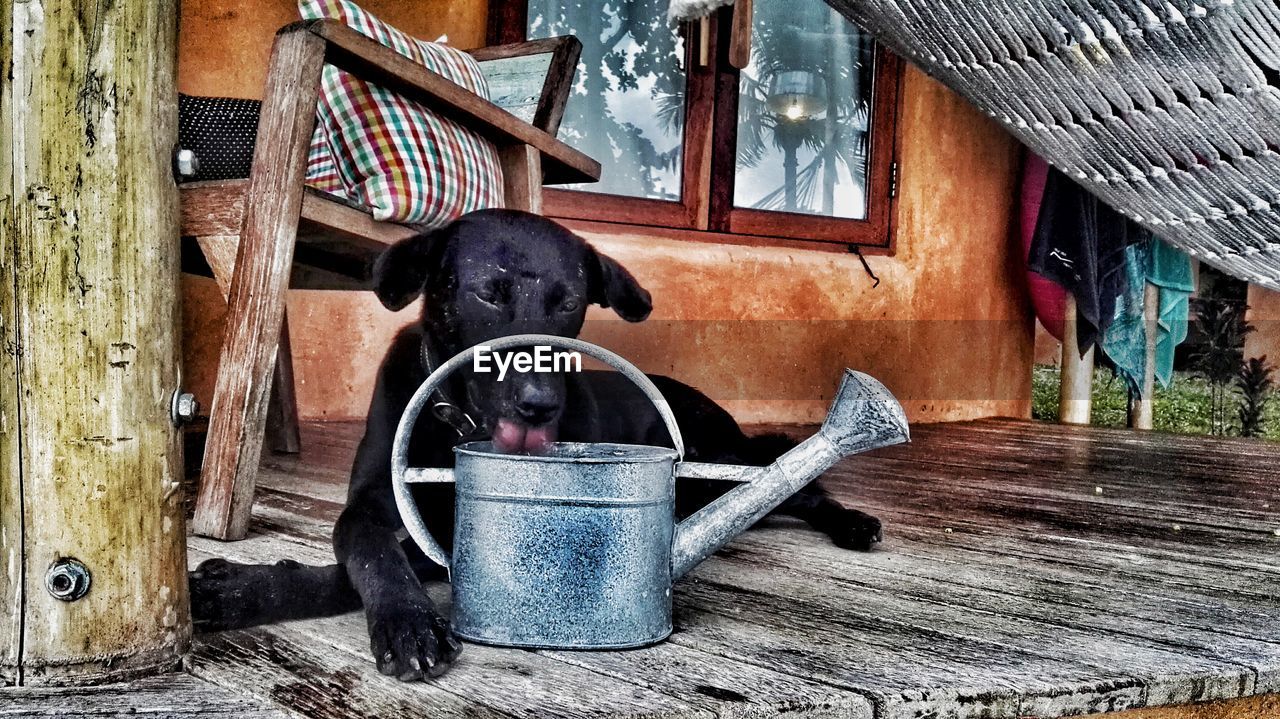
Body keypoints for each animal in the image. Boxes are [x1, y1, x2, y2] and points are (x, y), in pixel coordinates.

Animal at [189, 207, 885, 675]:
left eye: (569, 303)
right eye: (488, 294)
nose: (539, 402)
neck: (458, 425)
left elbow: (364, 567)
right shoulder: (369, 505)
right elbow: (368, 555)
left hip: (723, 462)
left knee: (797, 484)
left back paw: (853, 522)